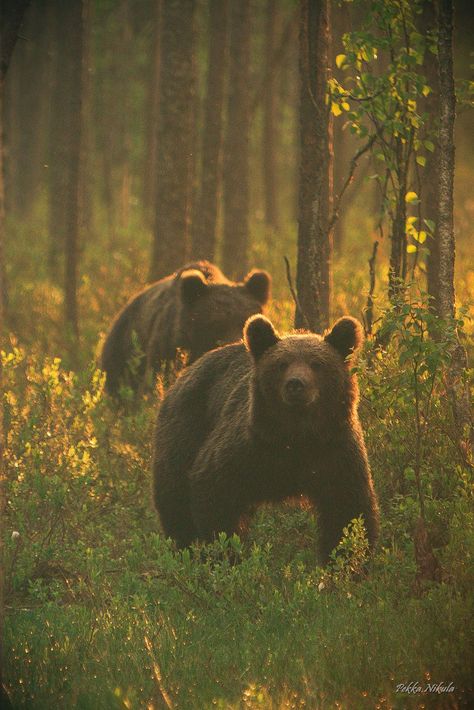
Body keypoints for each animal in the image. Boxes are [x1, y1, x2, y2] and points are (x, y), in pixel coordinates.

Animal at [154, 314, 380, 564]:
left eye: (317, 364)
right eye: (282, 364)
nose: (296, 384)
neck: (297, 436)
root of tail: (181, 375)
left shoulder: (334, 451)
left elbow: (347, 509)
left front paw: (346, 561)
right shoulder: (249, 449)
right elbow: (214, 490)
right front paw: (225, 554)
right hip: (186, 429)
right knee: (175, 498)